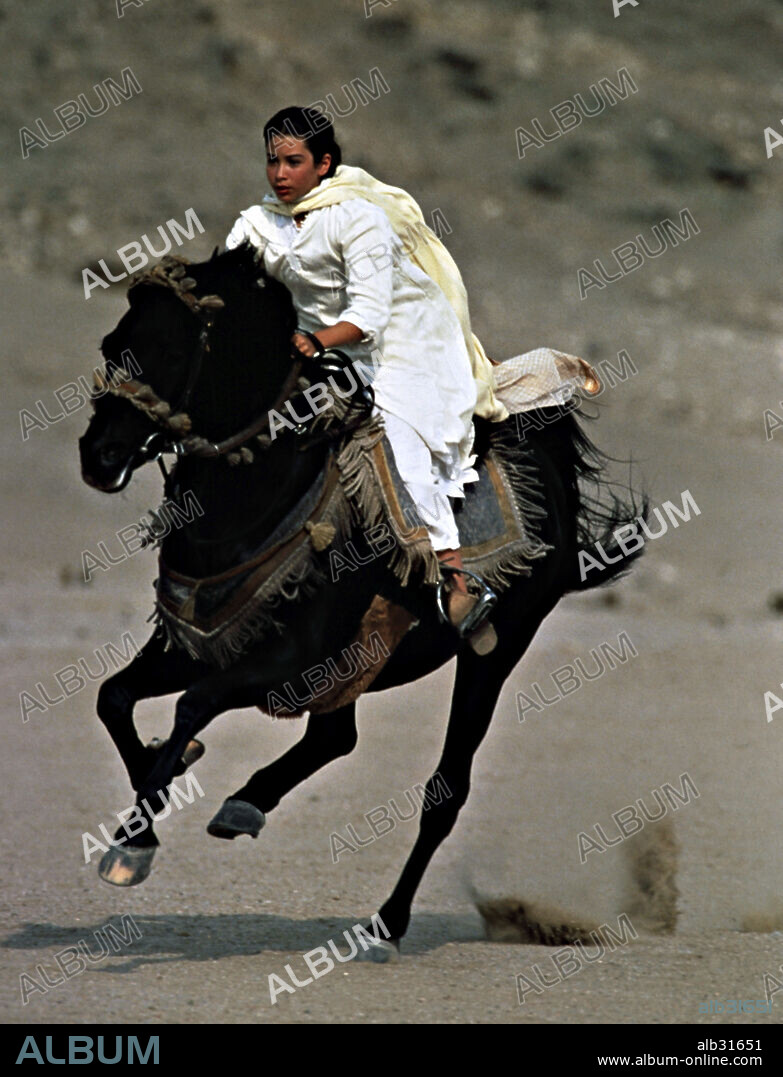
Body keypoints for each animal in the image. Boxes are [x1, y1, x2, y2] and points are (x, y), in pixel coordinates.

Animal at [78, 244, 641, 960]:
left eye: (172, 351)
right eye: (112, 343)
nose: (99, 456)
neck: (262, 496)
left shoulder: (289, 659)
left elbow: (193, 706)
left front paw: (133, 841)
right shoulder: (200, 642)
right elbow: (115, 697)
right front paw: (156, 792)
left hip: (494, 649)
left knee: (444, 789)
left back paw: (386, 922)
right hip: (357, 665)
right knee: (334, 737)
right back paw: (247, 802)